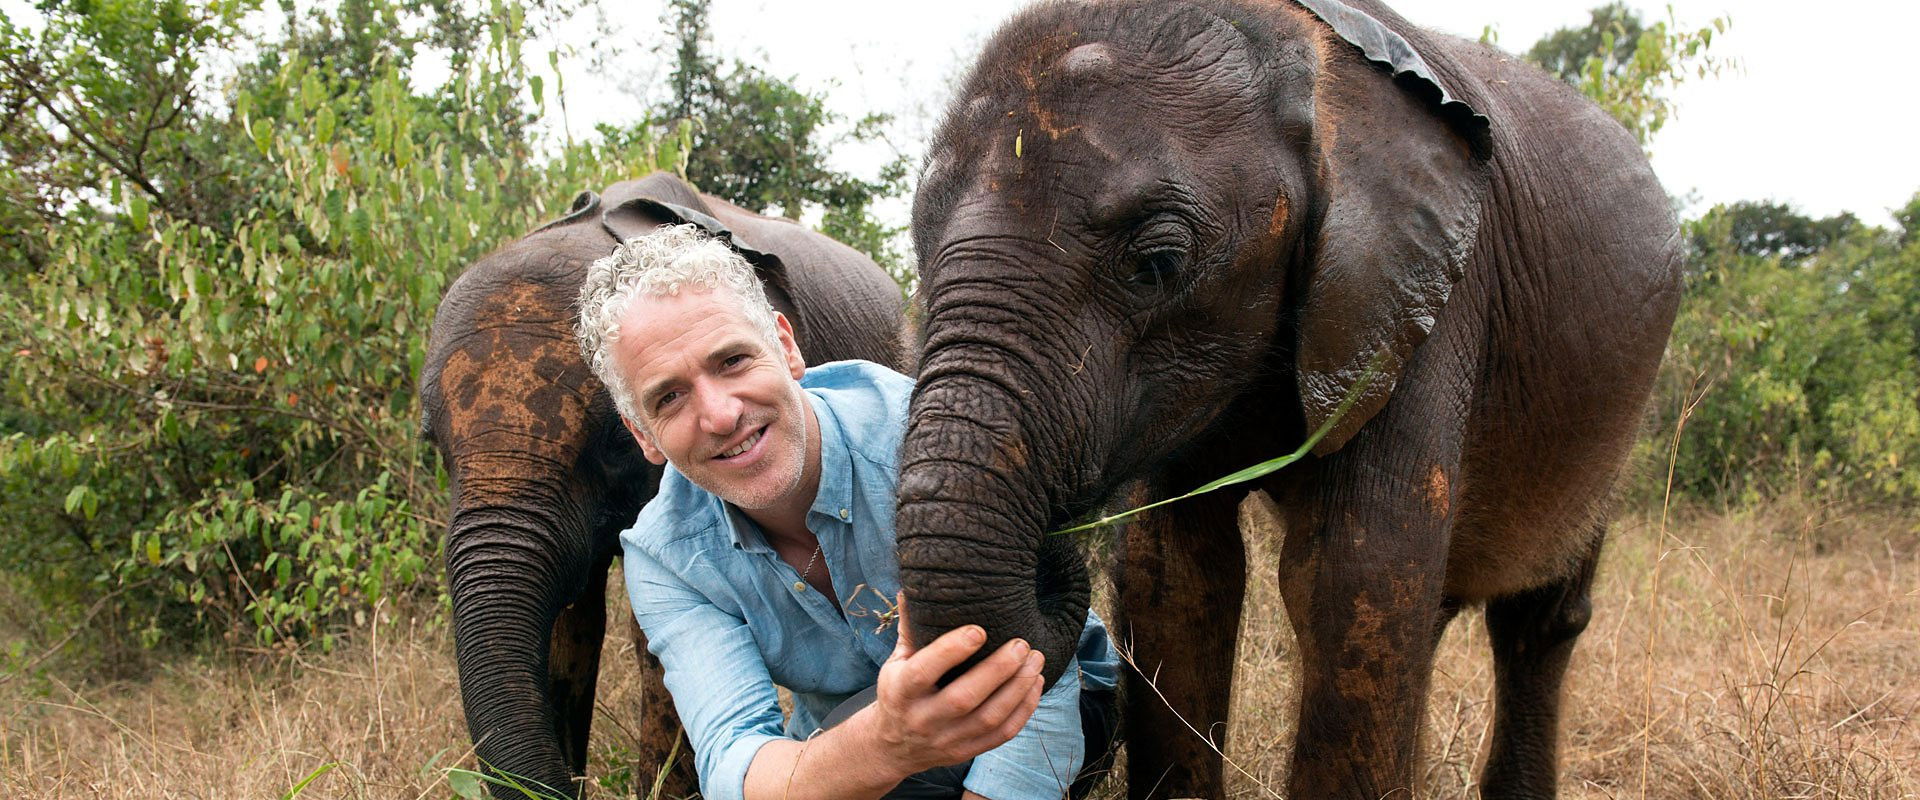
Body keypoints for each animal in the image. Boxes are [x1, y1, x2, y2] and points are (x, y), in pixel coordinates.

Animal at [893, 1, 1681, 798]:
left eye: (1157, 263)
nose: (1052, 552)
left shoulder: (1428, 299)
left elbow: (1353, 578)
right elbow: (1174, 574)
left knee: (1538, 616)